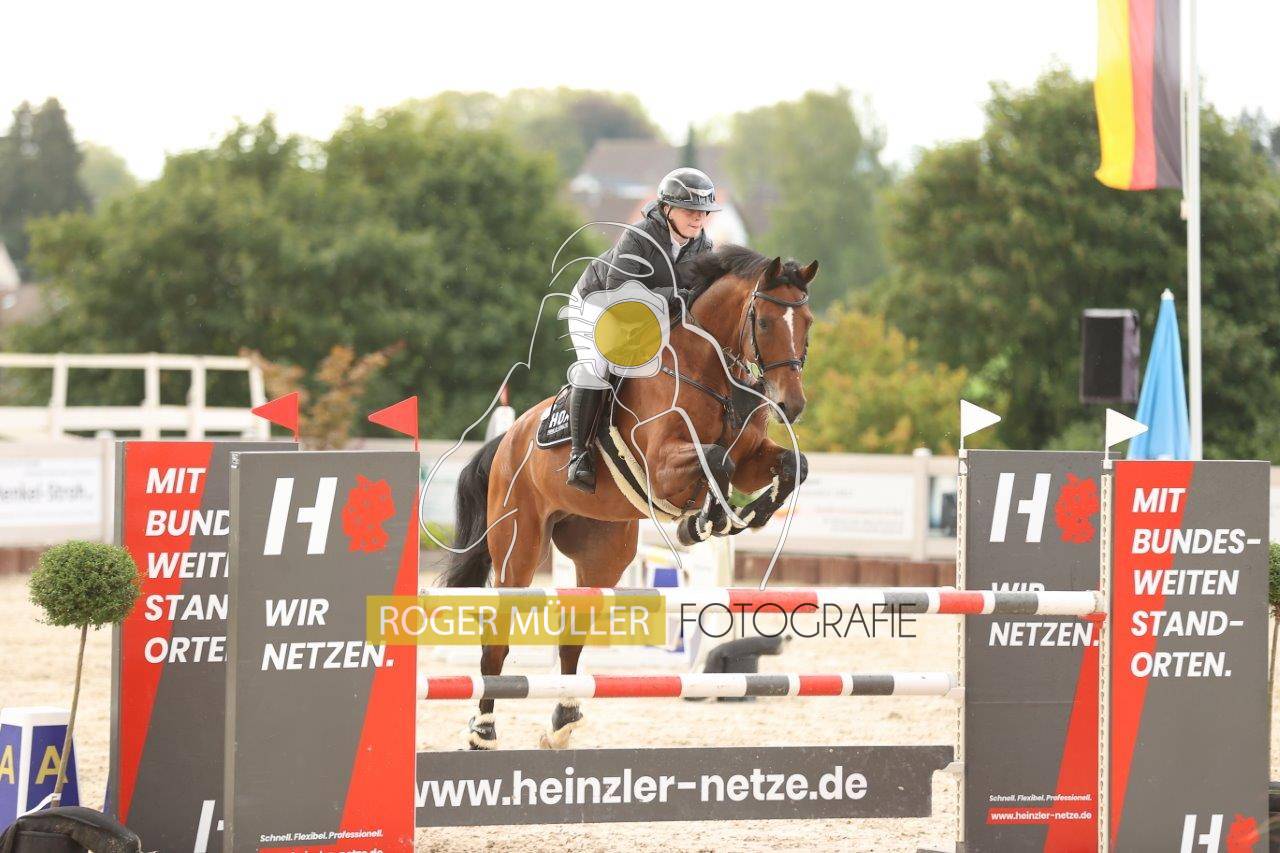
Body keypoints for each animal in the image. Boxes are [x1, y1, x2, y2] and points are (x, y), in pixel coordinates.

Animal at [441, 244, 818, 749]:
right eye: (765, 322)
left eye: (808, 321)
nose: (790, 406)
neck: (708, 370)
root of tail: (507, 440)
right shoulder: (661, 466)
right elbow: (717, 461)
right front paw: (703, 520)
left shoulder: (753, 454)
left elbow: (791, 466)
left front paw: (741, 516)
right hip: (518, 545)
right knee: (497, 635)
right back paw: (483, 729)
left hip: (602, 551)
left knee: (573, 633)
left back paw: (562, 720)